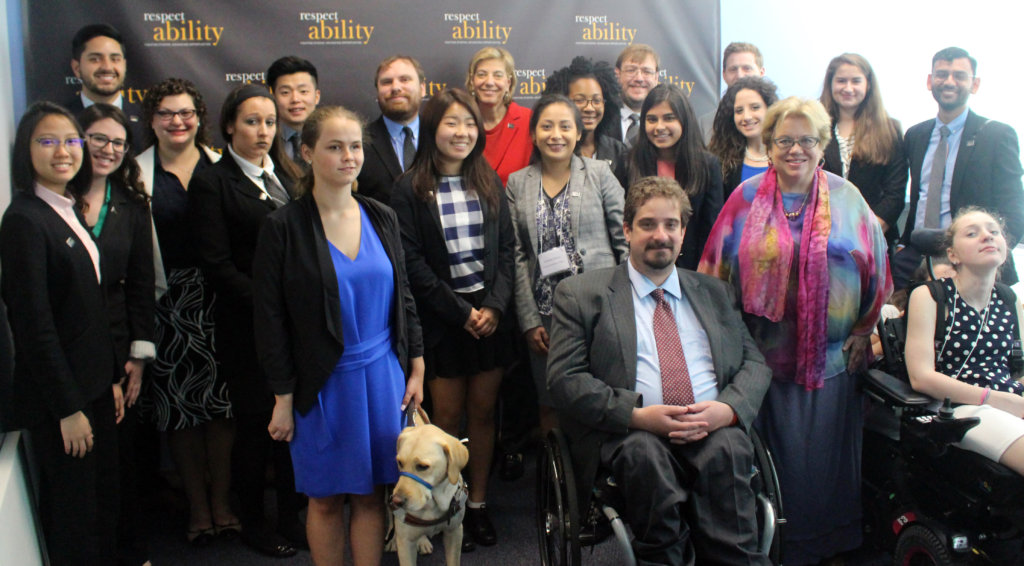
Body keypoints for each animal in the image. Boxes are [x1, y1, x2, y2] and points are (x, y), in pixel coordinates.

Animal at [389, 407, 468, 560]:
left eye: (422, 466)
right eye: (400, 463)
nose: (396, 501)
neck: (433, 504)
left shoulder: (455, 532)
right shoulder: (405, 543)